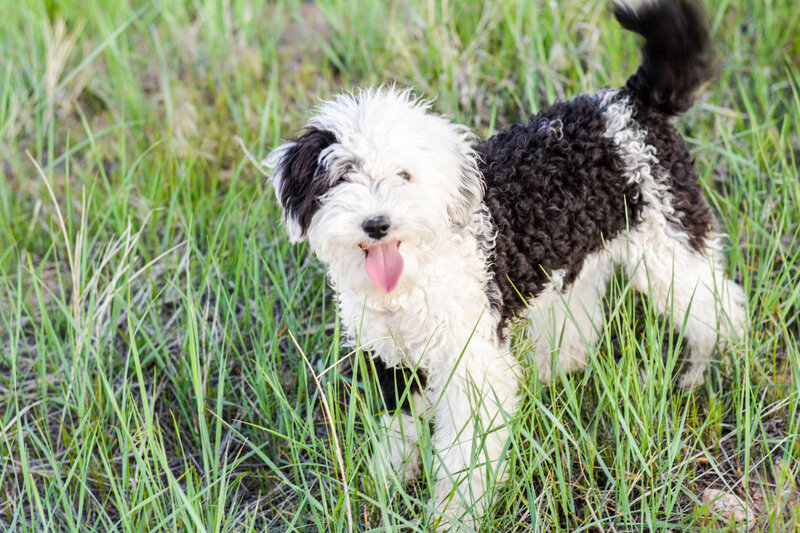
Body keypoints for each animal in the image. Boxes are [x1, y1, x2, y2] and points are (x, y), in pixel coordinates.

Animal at [266, 0, 748, 524]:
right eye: (341, 176)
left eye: (404, 175)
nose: (377, 224)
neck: (416, 274)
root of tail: (628, 101)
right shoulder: (392, 359)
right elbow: (400, 428)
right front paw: (384, 483)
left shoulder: (471, 365)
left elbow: (465, 455)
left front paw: (452, 517)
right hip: (576, 258)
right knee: (582, 328)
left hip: (667, 242)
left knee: (720, 305)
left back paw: (715, 369)